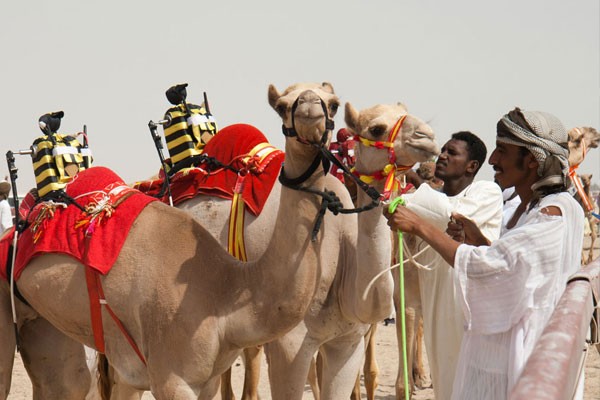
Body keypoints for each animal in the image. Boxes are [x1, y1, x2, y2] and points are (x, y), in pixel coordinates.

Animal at [14, 83, 342, 396]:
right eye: (282, 106)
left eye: (334, 102)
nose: (310, 109)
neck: (223, 291)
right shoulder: (171, 376)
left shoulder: (206, 379)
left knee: (64, 383)